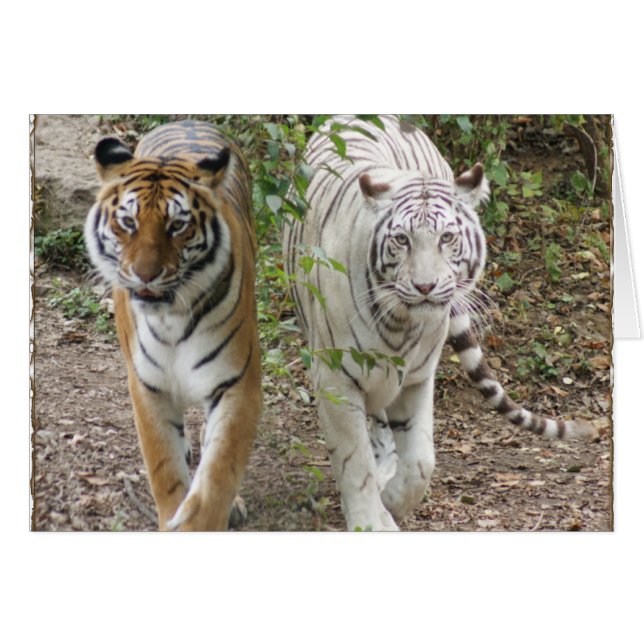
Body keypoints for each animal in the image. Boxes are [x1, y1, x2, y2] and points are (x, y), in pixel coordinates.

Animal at [84, 119, 262, 531]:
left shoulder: (237, 382)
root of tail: (188, 120)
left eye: (178, 225)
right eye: (128, 222)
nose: (146, 275)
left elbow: (219, 472)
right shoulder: (148, 386)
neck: (172, 319)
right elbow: (164, 468)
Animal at [283, 114, 597, 531]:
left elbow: (421, 459)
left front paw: (394, 501)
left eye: (447, 237)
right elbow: (354, 460)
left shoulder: (416, 376)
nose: (425, 286)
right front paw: (372, 520)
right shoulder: (336, 376)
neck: (401, 324)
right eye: (401, 240)